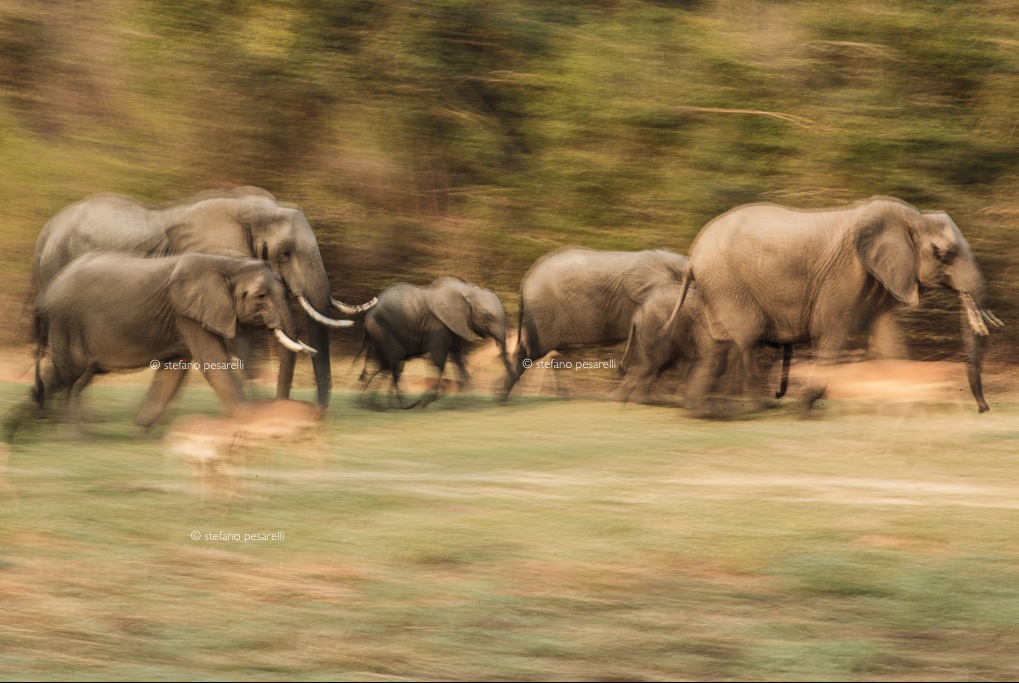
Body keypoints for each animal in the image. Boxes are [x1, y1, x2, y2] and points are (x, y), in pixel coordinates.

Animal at [31, 187, 373, 409]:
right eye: (285, 253)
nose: (318, 411)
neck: (252, 210)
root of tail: (46, 231)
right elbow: (237, 340)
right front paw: (253, 406)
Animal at [33, 252, 317, 429]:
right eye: (261, 297)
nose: (282, 409)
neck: (228, 264)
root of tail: (46, 293)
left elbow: (174, 370)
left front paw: (142, 430)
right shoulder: (188, 313)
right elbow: (213, 362)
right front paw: (250, 419)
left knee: (66, 374)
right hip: (67, 323)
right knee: (67, 373)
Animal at [358, 277, 511, 407]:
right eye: (488, 317)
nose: (500, 396)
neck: (467, 289)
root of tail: (368, 313)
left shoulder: (456, 324)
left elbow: (457, 358)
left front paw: (466, 395)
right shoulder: (438, 325)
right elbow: (437, 359)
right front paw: (428, 400)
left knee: (383, 364)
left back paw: (370, 402)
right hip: (382, 329)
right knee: (395, 361)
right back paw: (405, 404)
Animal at [670, 196, 1002, 414]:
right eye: (945, 255)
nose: (983, 409)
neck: (912, 217)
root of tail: (693, 255)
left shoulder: (879, 277)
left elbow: (889, 337)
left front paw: (902, 405)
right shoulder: (844, 273)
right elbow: (833, 331)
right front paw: (803, 408)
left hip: (718, 287)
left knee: (715, 344)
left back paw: (699, 410)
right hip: (728, 282)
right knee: (745, 338)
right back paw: (755, 407)